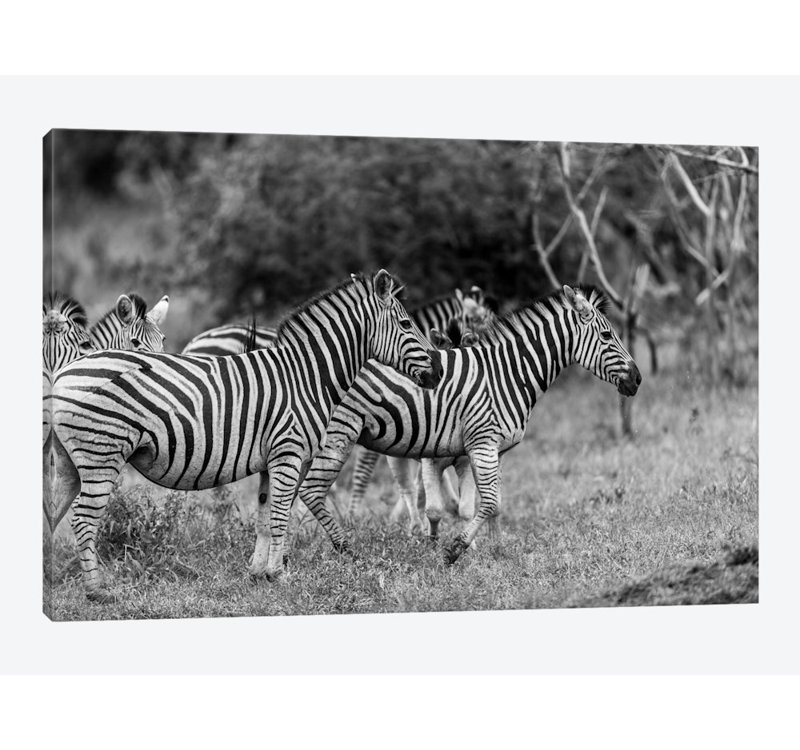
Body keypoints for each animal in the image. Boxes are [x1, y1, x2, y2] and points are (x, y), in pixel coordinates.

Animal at [45, 270, 441, 601]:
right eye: (407, 324)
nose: (437, 371)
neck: (307, 375)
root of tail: (66, 371)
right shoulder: (289, 452)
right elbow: (281, 514)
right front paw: (279, 575)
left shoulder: (271, 458)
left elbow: (265, 515)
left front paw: (258, 573)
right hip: (102, 454)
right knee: (83, 519)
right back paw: (98, 591)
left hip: (69, 462)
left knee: (54, 511)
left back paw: (51, 579)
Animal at [295, 285, 641, 562]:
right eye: (607, 336)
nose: (638, 379)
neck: (507, 373)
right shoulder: (481, 445)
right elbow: (483, 504)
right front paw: (454, 549)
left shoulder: (484, 451)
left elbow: (488, 504)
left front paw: (496, 549)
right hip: (339, 433)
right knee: (316, 488)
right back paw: (342, 547)